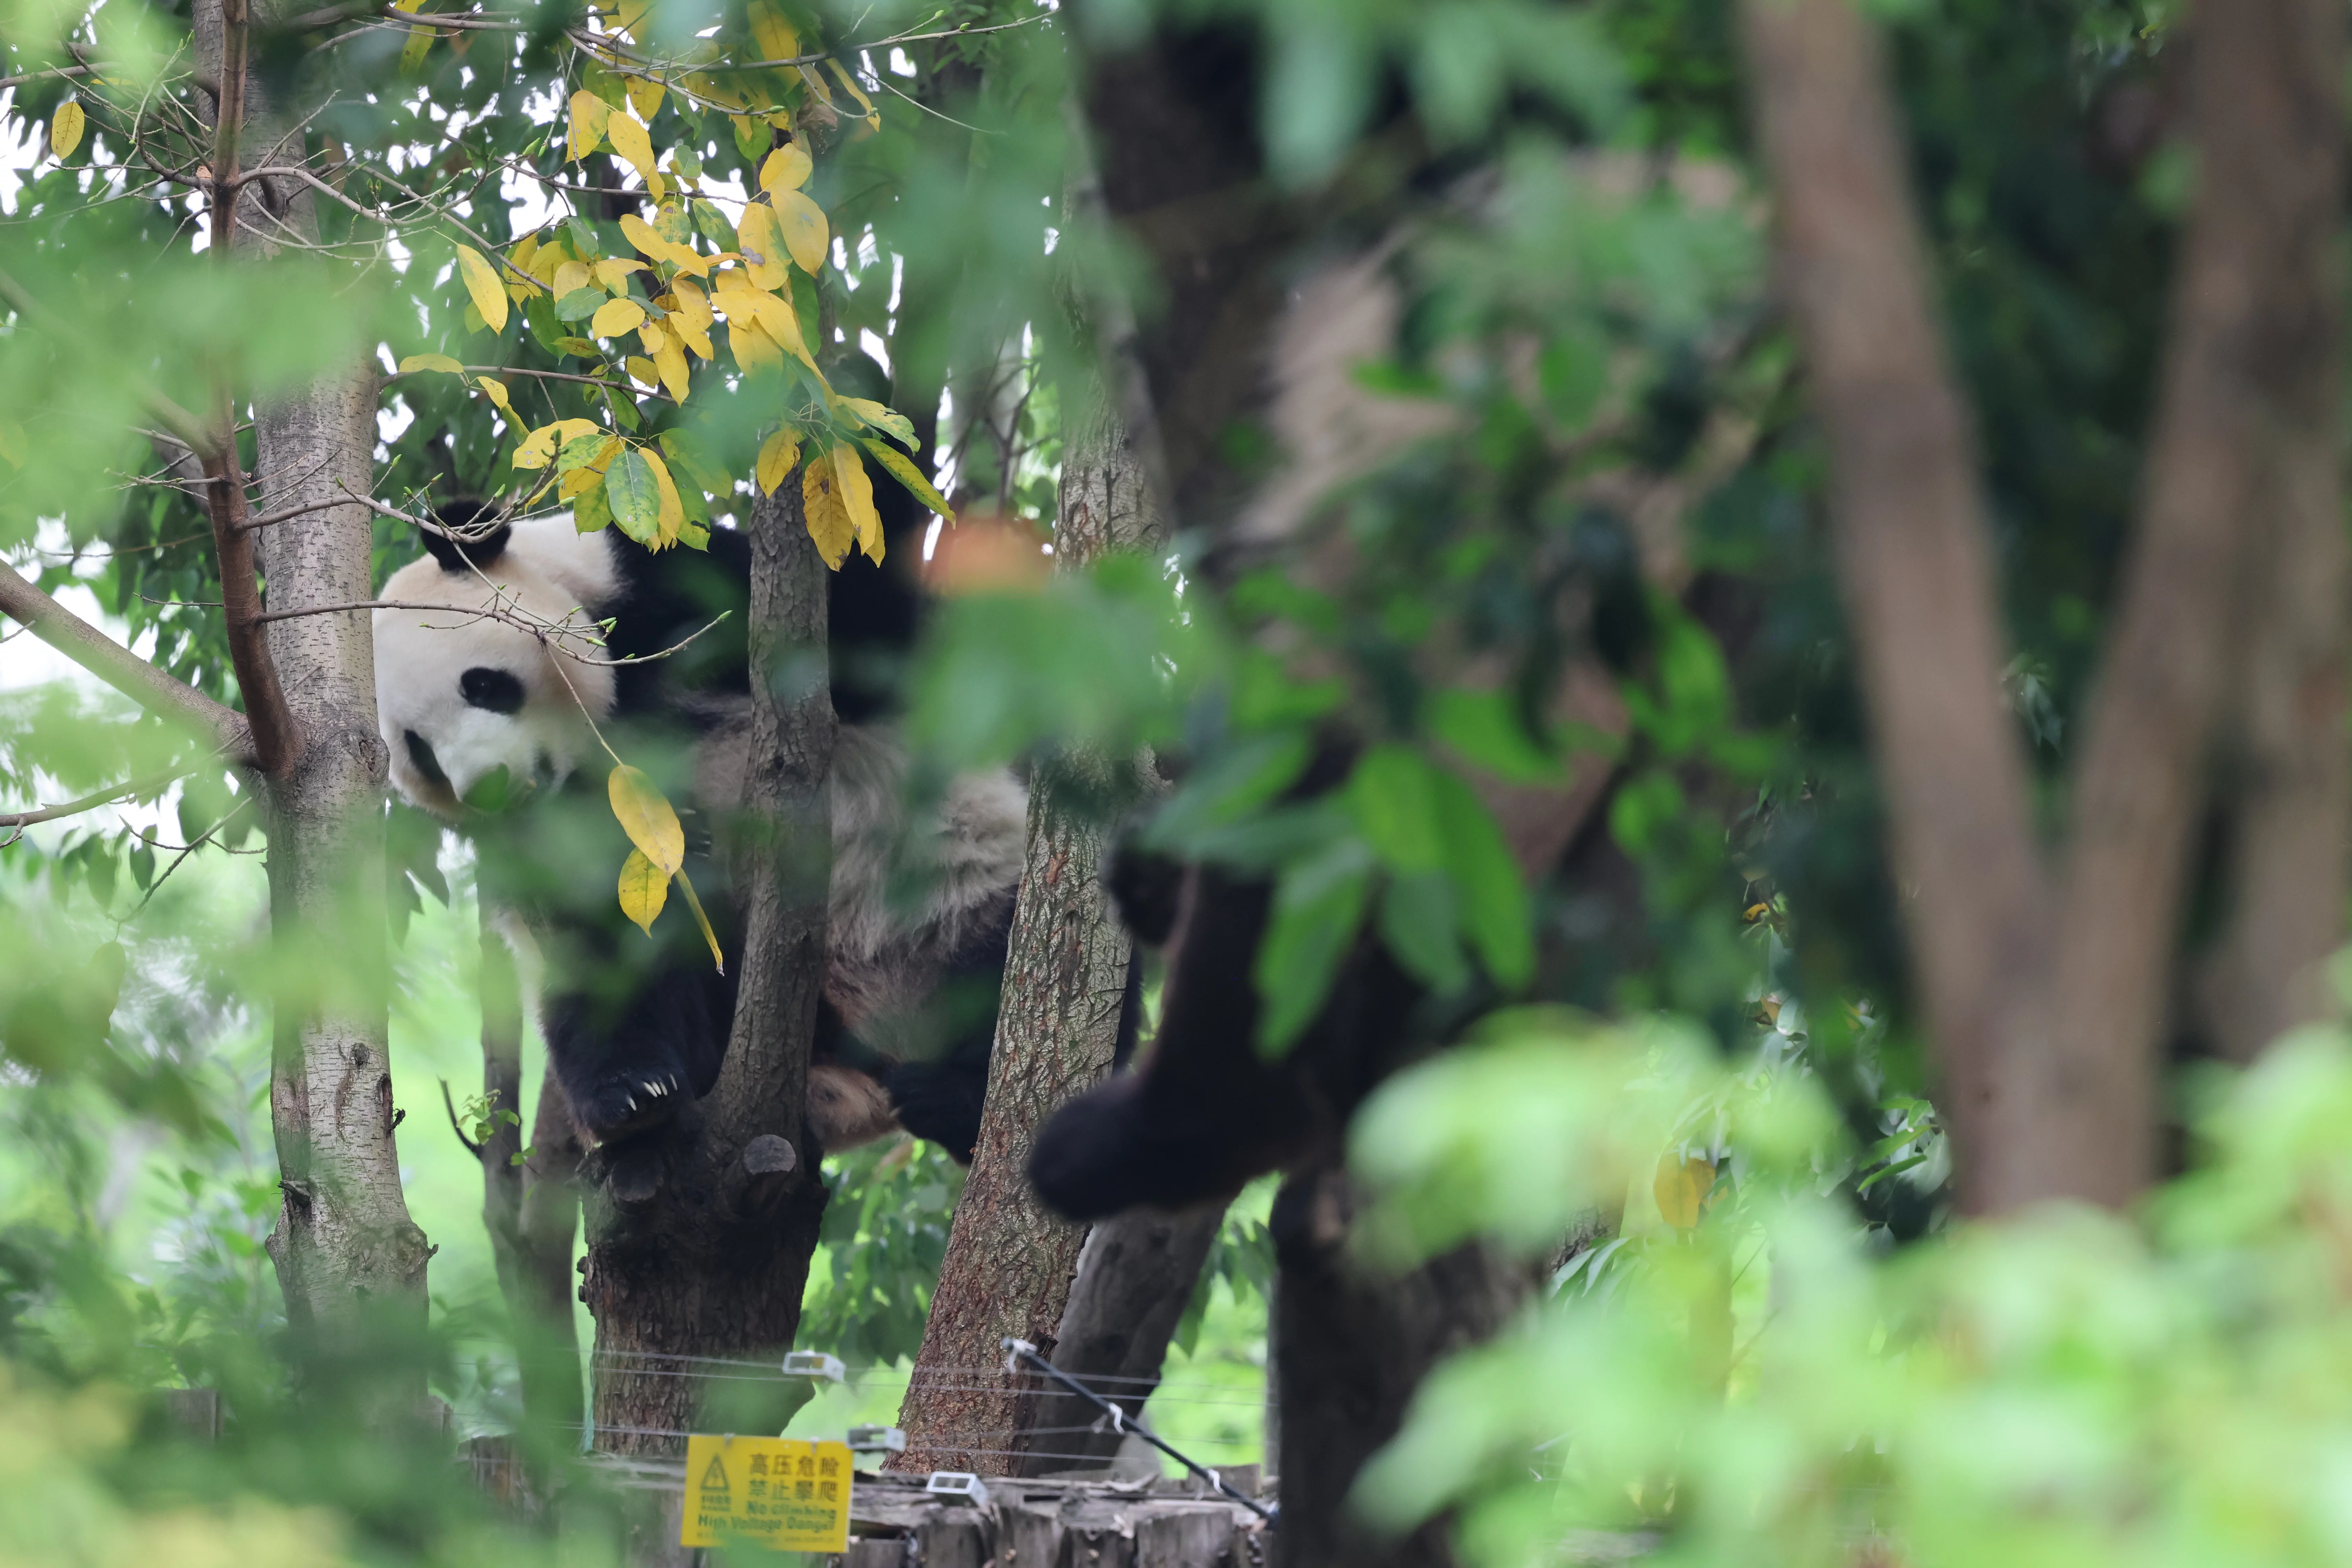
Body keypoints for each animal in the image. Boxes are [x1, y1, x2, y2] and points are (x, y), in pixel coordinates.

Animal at [371, 507, 1027, 1162]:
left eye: (482, 685)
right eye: (419, 751)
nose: (489, 789)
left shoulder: (674, 588)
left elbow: (873, 651)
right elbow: (592, 920)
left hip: (953, 906)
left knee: (994, 967)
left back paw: (953, 1097)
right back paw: (634, 1098)